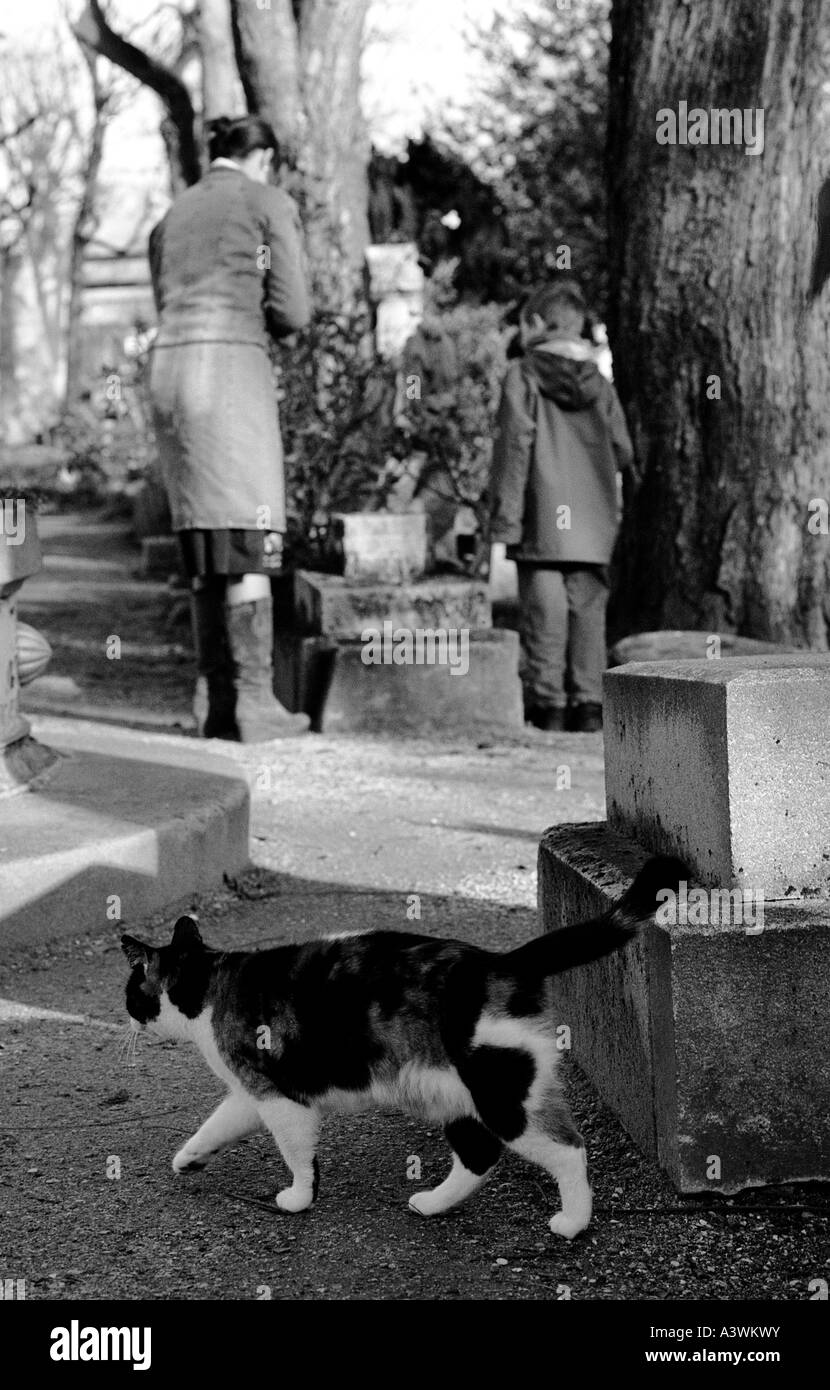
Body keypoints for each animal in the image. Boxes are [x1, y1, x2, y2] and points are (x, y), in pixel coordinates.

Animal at [121, 856, 678, 1239]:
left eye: (130, 990)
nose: (125, 1013)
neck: (211, 986)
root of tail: (500, 961)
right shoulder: (251, 1093)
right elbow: (213, 1126)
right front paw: (189, 1159)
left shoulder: (282, 1100)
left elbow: (298, 1156)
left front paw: (299, 1198)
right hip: (453, 1097)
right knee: (479, 1155)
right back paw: (431, 1204)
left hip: (502, 1097)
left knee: (567, 1149)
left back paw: (572, 1222)